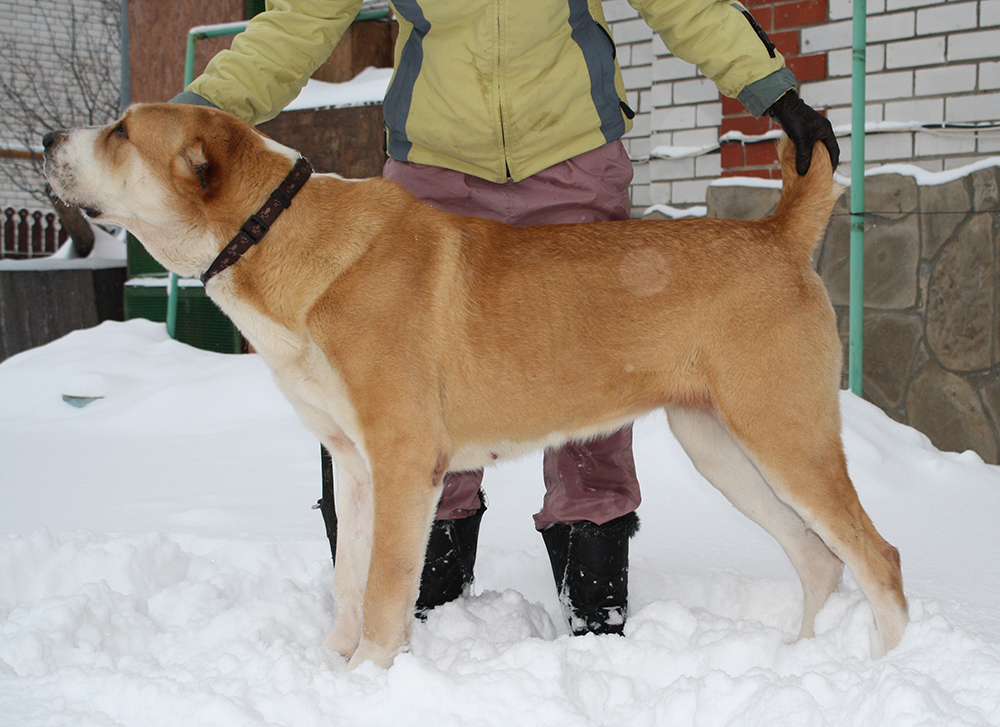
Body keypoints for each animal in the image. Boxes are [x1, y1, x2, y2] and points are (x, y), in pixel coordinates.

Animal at [45, 104, 908, 672]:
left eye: (121, 132)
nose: (51, 139)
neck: (281, 234)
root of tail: (777, 233)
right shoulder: (354, 465)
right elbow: (348, 582)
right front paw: (334, 665)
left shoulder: (403, 459)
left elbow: (385, 589)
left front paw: (370, 680)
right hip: (724, 448)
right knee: (820, 559)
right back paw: (799, 660)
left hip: (784, 434)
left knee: (879, 555)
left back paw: (886, 665)